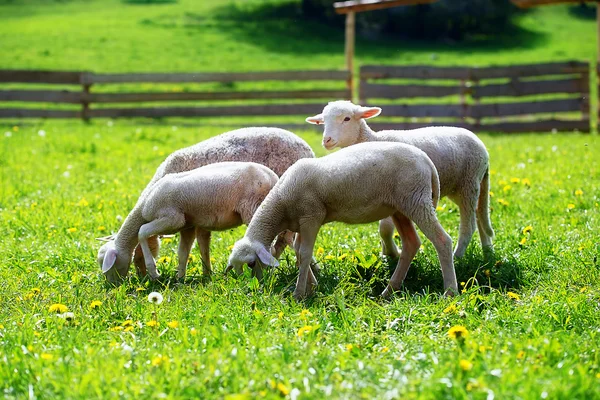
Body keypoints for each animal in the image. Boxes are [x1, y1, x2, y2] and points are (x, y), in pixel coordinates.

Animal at [98, 161, 278, 282]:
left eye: (109, 265)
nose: (113, 286)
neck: (143, 206)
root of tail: (273, 177)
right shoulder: (187, 226)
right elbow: (183, 253)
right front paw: (180, 278)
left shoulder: (172, 219)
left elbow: (141, 232)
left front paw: (154, 272)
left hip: (253, 207)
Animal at [227, 141, 458, 300]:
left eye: (251, 263)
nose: (254, 287)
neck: (281, 204)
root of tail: (427, 161)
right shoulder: (301, 222)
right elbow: (299, 252)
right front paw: (311, 287)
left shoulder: (311, 216)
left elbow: (305, 253)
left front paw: (299, 294)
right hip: (400, 207)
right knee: (411, 244)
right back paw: (388, 291)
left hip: (416, 200)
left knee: (442, 240)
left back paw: (449, 291)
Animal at [308, 100, 494, 260]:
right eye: (323, 121)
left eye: (346, 119)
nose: (326, 140)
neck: (371, 140)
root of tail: (482, 146)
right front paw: (386, 254)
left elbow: (384, 228)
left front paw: (392, 253)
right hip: (461, 188)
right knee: (479, 214)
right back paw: (488, 251)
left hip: (468, 182)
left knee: (469, 224)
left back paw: (458, 256)